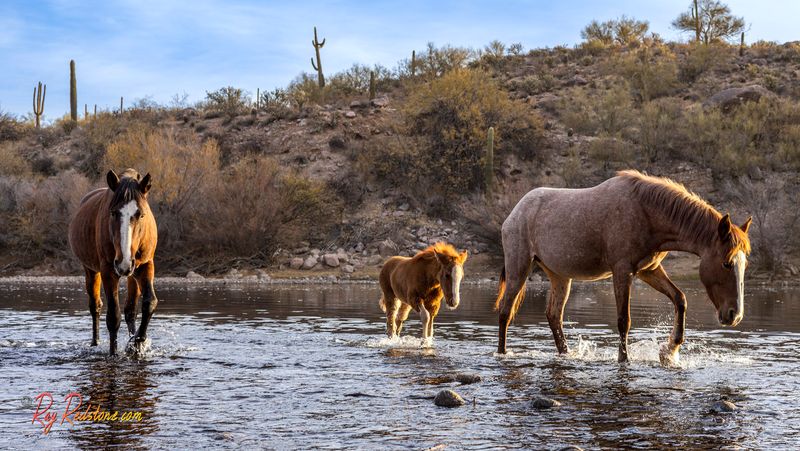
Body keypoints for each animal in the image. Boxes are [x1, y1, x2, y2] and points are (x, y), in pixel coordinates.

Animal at [68, 170, 159, 356]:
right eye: (113, 213)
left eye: (141, 214)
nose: (123, 263)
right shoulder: (108, 271)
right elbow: (113, 317)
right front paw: (114, 353)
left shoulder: (145, 266)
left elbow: (149, 303)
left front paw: (137, 343)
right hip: (91, 270)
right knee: (95, 306)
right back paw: (95, 342)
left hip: (132, 273)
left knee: (130, 310)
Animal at [494, 170, 752, 364]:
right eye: (726, 263)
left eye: (744, 264)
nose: (735, 315)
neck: (647, 212)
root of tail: (515, 213)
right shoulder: (622, 271)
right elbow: (623, 320)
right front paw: (624, 359)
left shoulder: (649, 270)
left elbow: (680, 299)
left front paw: (669, 351)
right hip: (519, 267)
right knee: (506, 311)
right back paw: (502, 353)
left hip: (560, 276)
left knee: (554, 316)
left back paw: (566, 354)